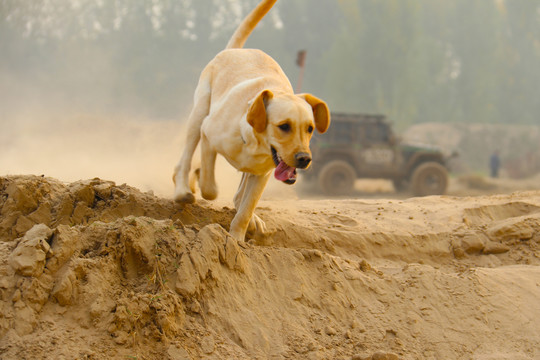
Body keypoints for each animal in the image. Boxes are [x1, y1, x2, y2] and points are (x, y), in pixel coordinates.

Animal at [175, 0, 332, 242]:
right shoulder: (208, 134)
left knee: (240, 194)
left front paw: (237, 238)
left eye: (310, 128)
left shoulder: (263, 174)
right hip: (198, 113)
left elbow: (246, 208)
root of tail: (234, 51)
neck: (253, 142)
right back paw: (183, 188)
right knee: (185, 158)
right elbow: (210, 188)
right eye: (284, 126)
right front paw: (199, 178)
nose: (305, 158)